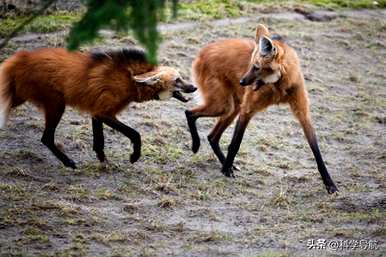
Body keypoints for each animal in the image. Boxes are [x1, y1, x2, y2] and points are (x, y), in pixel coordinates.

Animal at [186, 24, 338, 194]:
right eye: (251, 66)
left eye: (256, 67)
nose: (242, 81)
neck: (280, 86)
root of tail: (202, 52)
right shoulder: (247, 110)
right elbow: (235, 143)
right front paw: (225, 171)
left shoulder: (302, 112)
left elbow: (316, 150)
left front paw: (330, 184)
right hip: (224, 106)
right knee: (190, 113)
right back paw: (197, 146)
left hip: (232, 108)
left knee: (212, 136)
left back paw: (227, 163)